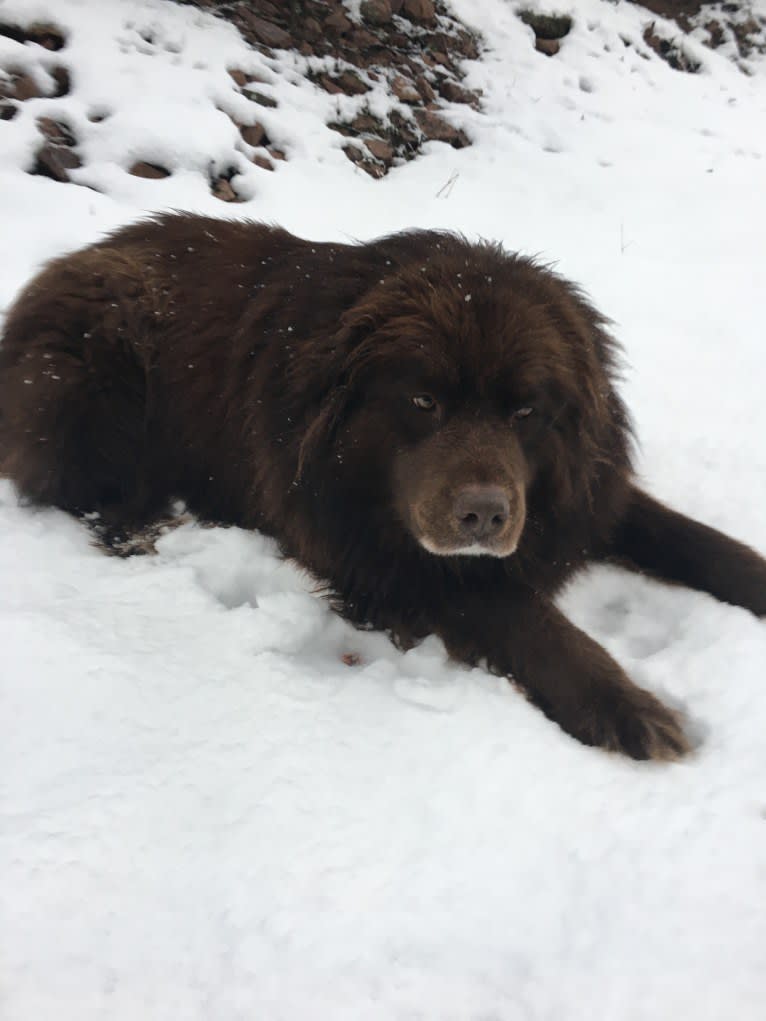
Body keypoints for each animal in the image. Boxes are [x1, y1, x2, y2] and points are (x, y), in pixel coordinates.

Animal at [3, 213, 763, 759]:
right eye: (424, 401)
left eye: (526, 412)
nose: (484, 515)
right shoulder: (381, 561)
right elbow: (520, 612)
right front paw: (623, 705)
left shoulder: (584, 495)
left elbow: (691, 538)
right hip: (96, 362)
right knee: (91, 492)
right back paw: (150, 527)